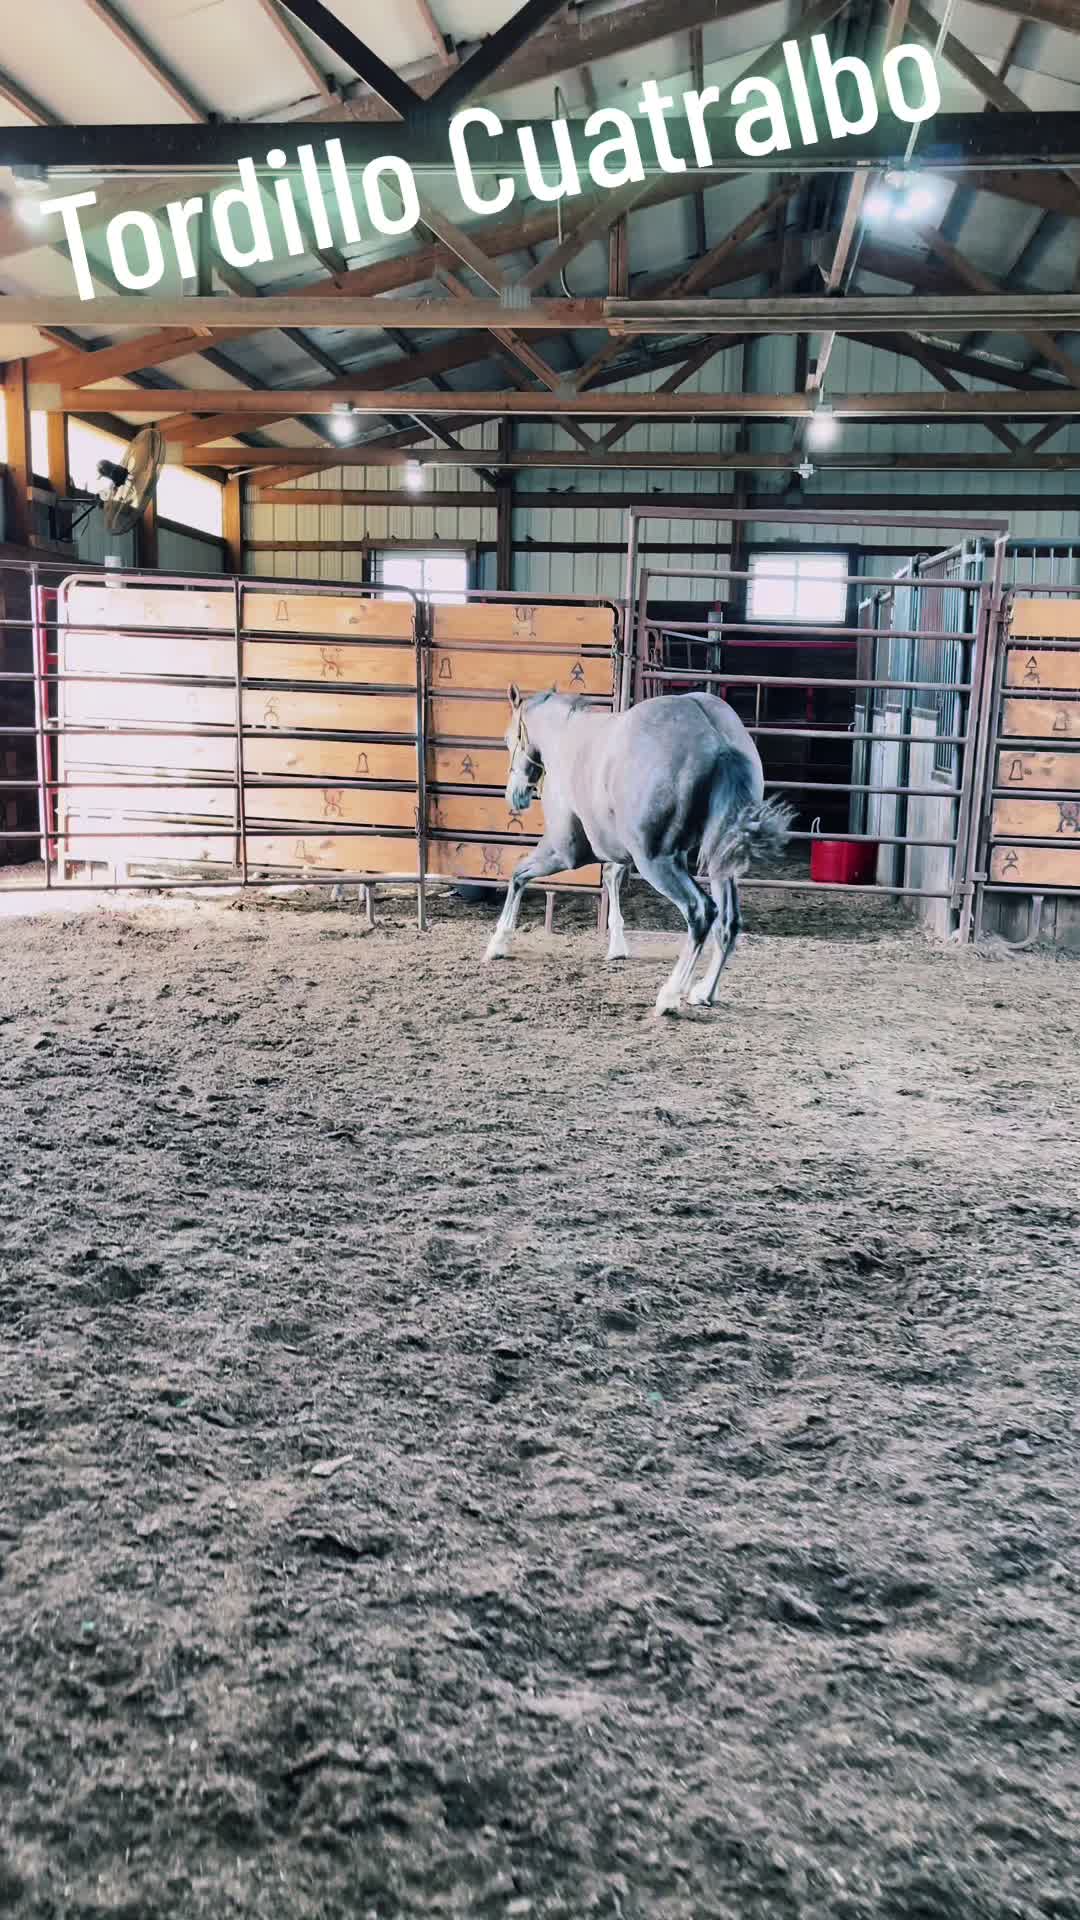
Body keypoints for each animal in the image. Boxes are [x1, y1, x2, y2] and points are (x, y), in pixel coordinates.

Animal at [483, 685, 794, 1016]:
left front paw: (498, 944)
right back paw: (704, 992)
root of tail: (716, 737)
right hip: (720, 859)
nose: (515, 796)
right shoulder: (621, 852)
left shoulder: (563, 851)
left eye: (508, 738)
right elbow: (611, 878)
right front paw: (617, 947)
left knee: (700, 911)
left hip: (656, 862)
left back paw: (670, 996)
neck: (566, 739)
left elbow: (517, 875)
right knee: (728, 922)